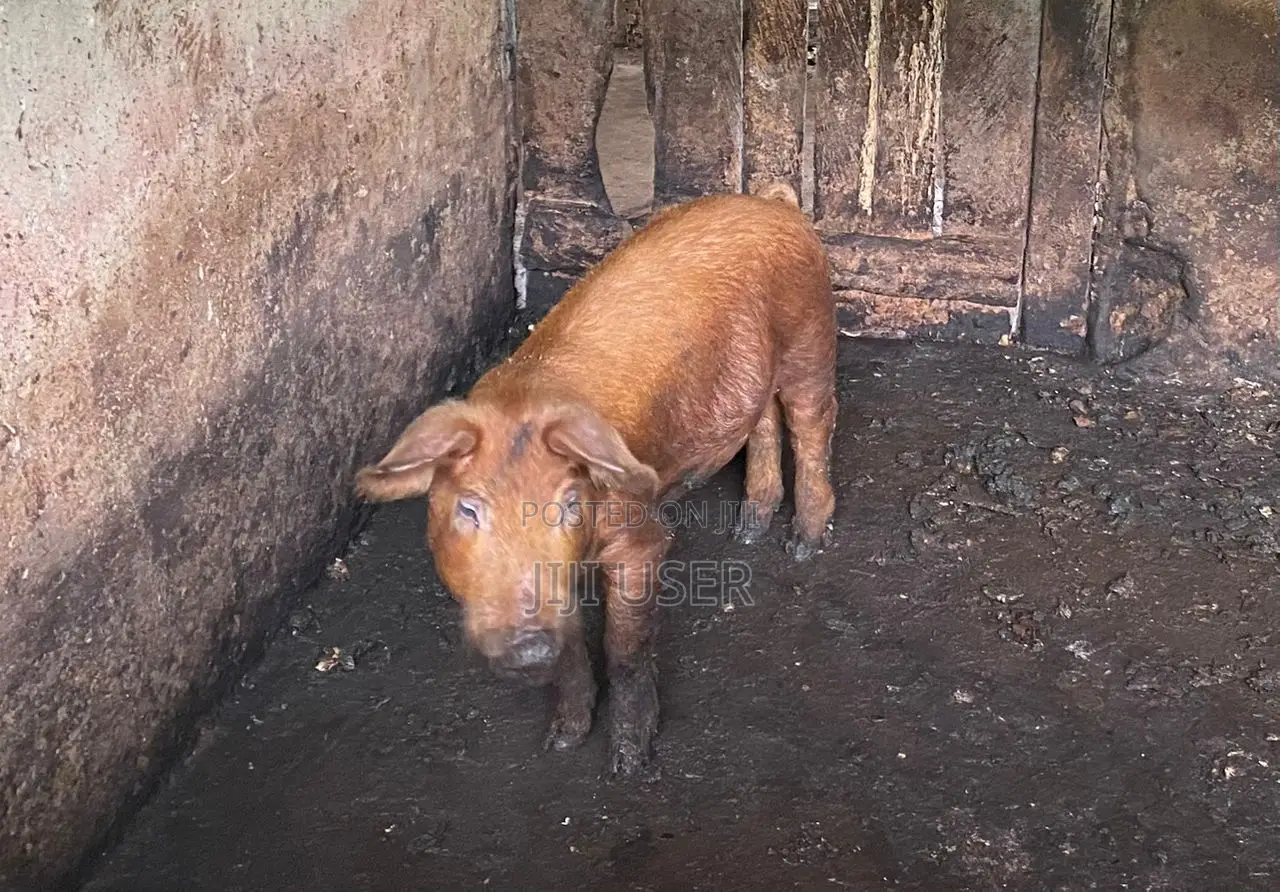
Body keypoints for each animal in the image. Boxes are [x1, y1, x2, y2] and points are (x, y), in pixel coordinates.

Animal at [354, 181, 837, 776]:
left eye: (567, 503)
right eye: (468, 509)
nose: (526, 645)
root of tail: (774, 204)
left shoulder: (639, 536)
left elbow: (624, 648)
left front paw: (629, 763)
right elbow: (571, 649)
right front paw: (562, 741)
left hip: (811, 335)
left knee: (811, 424)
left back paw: (802, 545)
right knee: (765, 419)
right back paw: (747, 532)